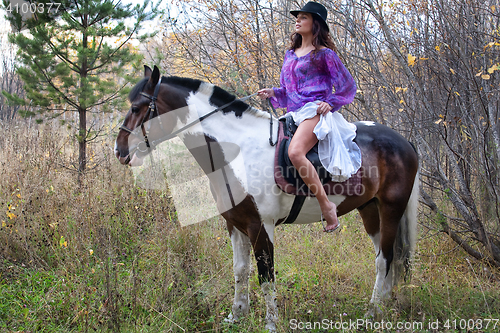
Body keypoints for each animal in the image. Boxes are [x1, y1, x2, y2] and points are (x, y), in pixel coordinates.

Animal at [113, 65, 418, 330]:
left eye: (136, 108)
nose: (119, 150)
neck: (236, 151)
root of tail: (403, 142)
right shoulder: (235, 224)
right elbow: (240, 270)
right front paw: (236, 316)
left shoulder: (261, 226)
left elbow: (265, 275)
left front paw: (271, 323)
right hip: (369, 210)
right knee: (386, 258)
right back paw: (385, 305)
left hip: (391, 209)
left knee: (385, 259)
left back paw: (373, 312)